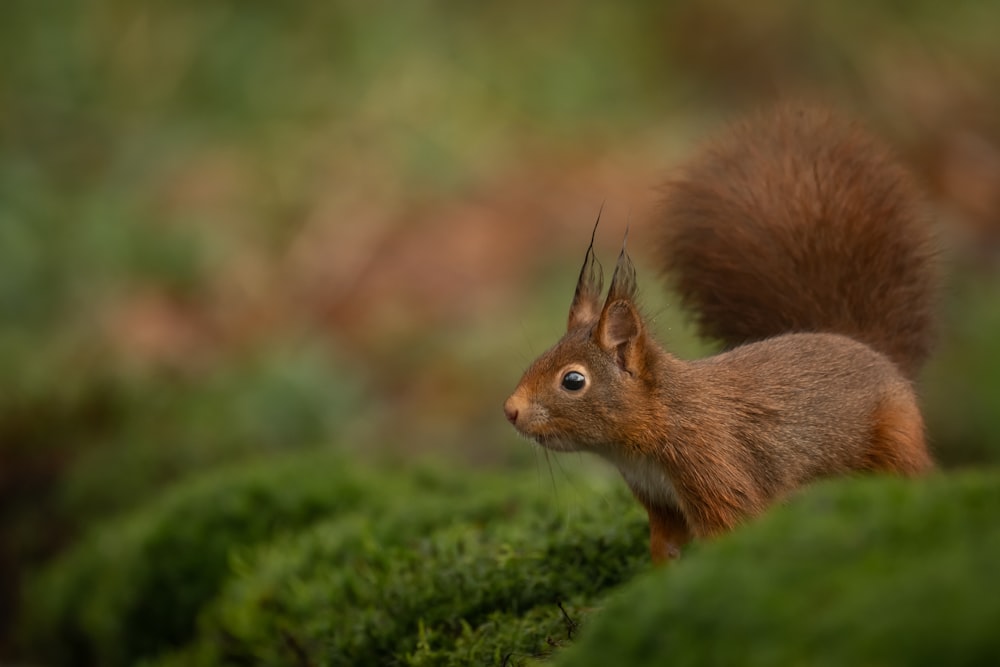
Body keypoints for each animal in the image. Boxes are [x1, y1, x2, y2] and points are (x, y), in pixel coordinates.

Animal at [508, 103, 936, 564]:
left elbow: (728, 531)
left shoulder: (716, 467)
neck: (662, 418)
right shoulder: (659, 499)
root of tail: (870, 349)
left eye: (573, 380)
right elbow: (666, 546)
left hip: (894, 439)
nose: (510, 410)